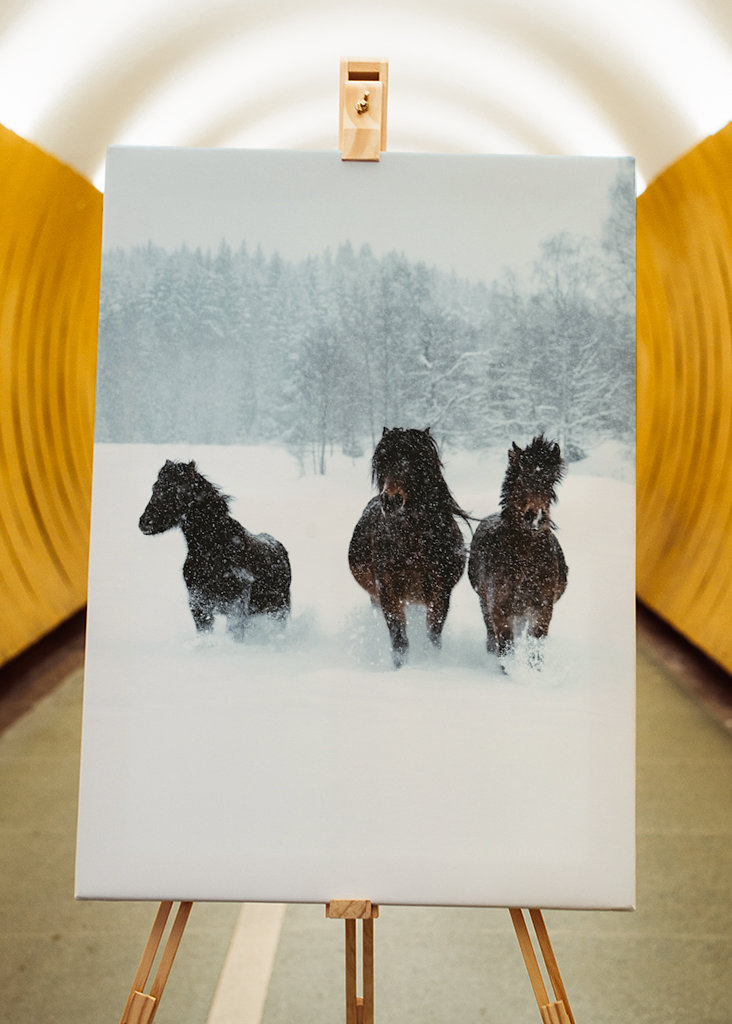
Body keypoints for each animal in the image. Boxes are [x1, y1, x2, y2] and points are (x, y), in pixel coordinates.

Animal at [138, 459, 291, 640]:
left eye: (175, 489)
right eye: (155, 487)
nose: (145, 522)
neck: (213, 549)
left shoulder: (236, 606)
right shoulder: (199, 605)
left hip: (278, 610)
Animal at [348, 427, 470, 668]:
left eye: (414, 461)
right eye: (382, 461)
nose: (391, 500)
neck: (414, 543)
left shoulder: (440, 593)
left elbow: (433, 635)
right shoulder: (388, 592)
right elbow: (399, 640)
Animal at [468, 435, 568, 667]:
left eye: (550, 481)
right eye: (522, 478)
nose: (535, 517)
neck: (525, 561)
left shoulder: (542, 608)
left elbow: (535, 647)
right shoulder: (500, 607)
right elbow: (506, 646)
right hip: (484, 602)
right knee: (491, 635)